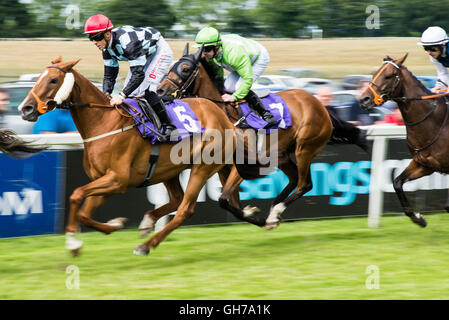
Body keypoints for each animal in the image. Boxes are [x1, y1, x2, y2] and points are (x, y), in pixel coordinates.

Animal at [18, 57, 238, 255]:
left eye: (53, 80)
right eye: (40, 78)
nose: (25, 108)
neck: (104, 122)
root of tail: (223, 117)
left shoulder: (117, 179)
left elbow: (76, 194)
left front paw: (73, 242)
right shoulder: (104, 181)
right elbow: (83, 214)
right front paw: (112, 226)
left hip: (202, 167)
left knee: (185, 209)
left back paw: (146, 245)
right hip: (168, 170)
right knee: (177, 199)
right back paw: (147, 223)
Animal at [156, 45, 334, 230]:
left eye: (185, 69)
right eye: (171, 67)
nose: (160, 90)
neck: (223, 114)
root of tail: (318, 103)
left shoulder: (243, 165)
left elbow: (224, 200)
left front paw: (252, 213)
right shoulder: (223, 169)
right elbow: (229, 202)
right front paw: (253, 214)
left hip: (305, 148)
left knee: (304, 184)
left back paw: (275, 212)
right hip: (281, 154)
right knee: (294, 179)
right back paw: (273, 212)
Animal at [358, 53, 448, 228]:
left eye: (388, 76)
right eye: (374, 74)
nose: (364, 99)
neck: (434, 122)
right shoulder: (424, 164)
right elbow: (397, 182)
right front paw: (418, 218)